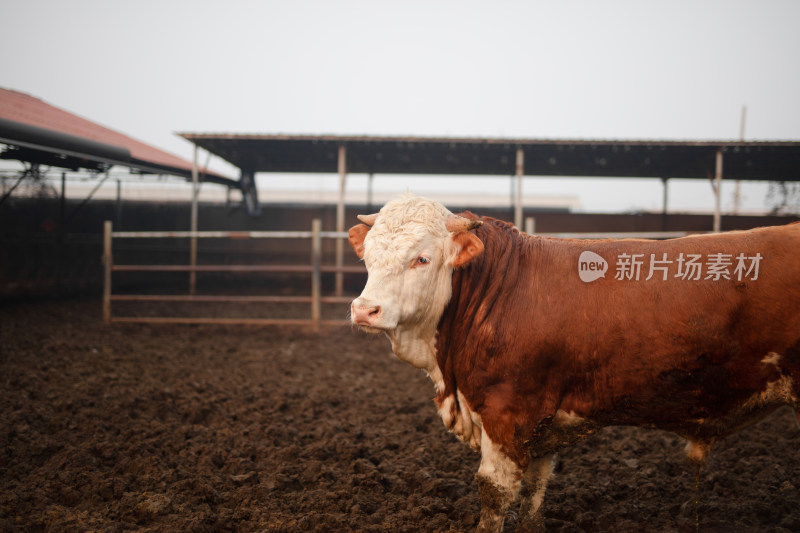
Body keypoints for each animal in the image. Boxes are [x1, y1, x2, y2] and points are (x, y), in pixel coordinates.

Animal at [348, 193, 800, 528]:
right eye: (367, 256)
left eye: (422, 258)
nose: (364, 310)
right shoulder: (540, 425)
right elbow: (534, 492)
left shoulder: (507, 412)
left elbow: (494, 494)